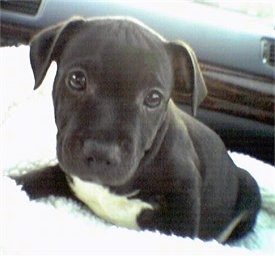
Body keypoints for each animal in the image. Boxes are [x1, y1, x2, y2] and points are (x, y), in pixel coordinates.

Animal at [12, 16, 262, 242]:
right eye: (76, 79)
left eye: (153, 98)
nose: (101, 152)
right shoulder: (69, 173)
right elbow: (37, 177)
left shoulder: (186, 194)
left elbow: (181, 234)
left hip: (249, 187)